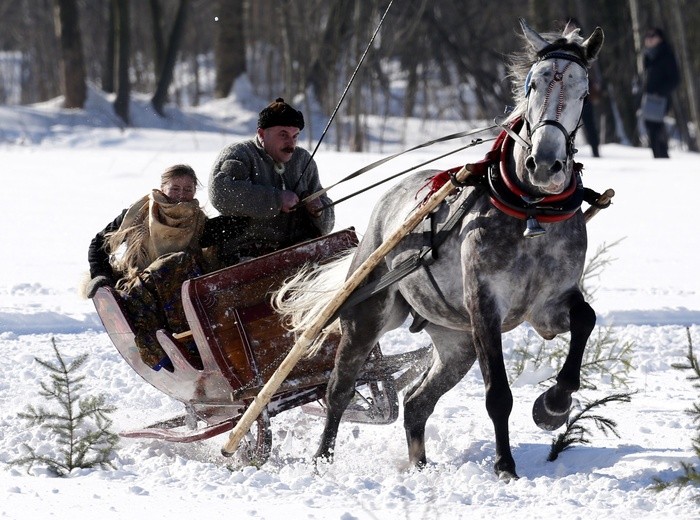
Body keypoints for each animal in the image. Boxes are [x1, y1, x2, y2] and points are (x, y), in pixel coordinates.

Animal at [276, 21, 604, 484]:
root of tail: (387, 204)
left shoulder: (549, 304)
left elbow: (585, 319)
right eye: (534, 84)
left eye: (583, 91)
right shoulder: (484, 304)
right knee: (339, 389)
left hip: (455, 341)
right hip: (369, 313)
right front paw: (505, 465)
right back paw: (322, 459)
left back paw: (419, 466)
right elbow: (498, 394)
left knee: (416, 403)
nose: (544, 164)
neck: (530, 209)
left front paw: (553, 406)